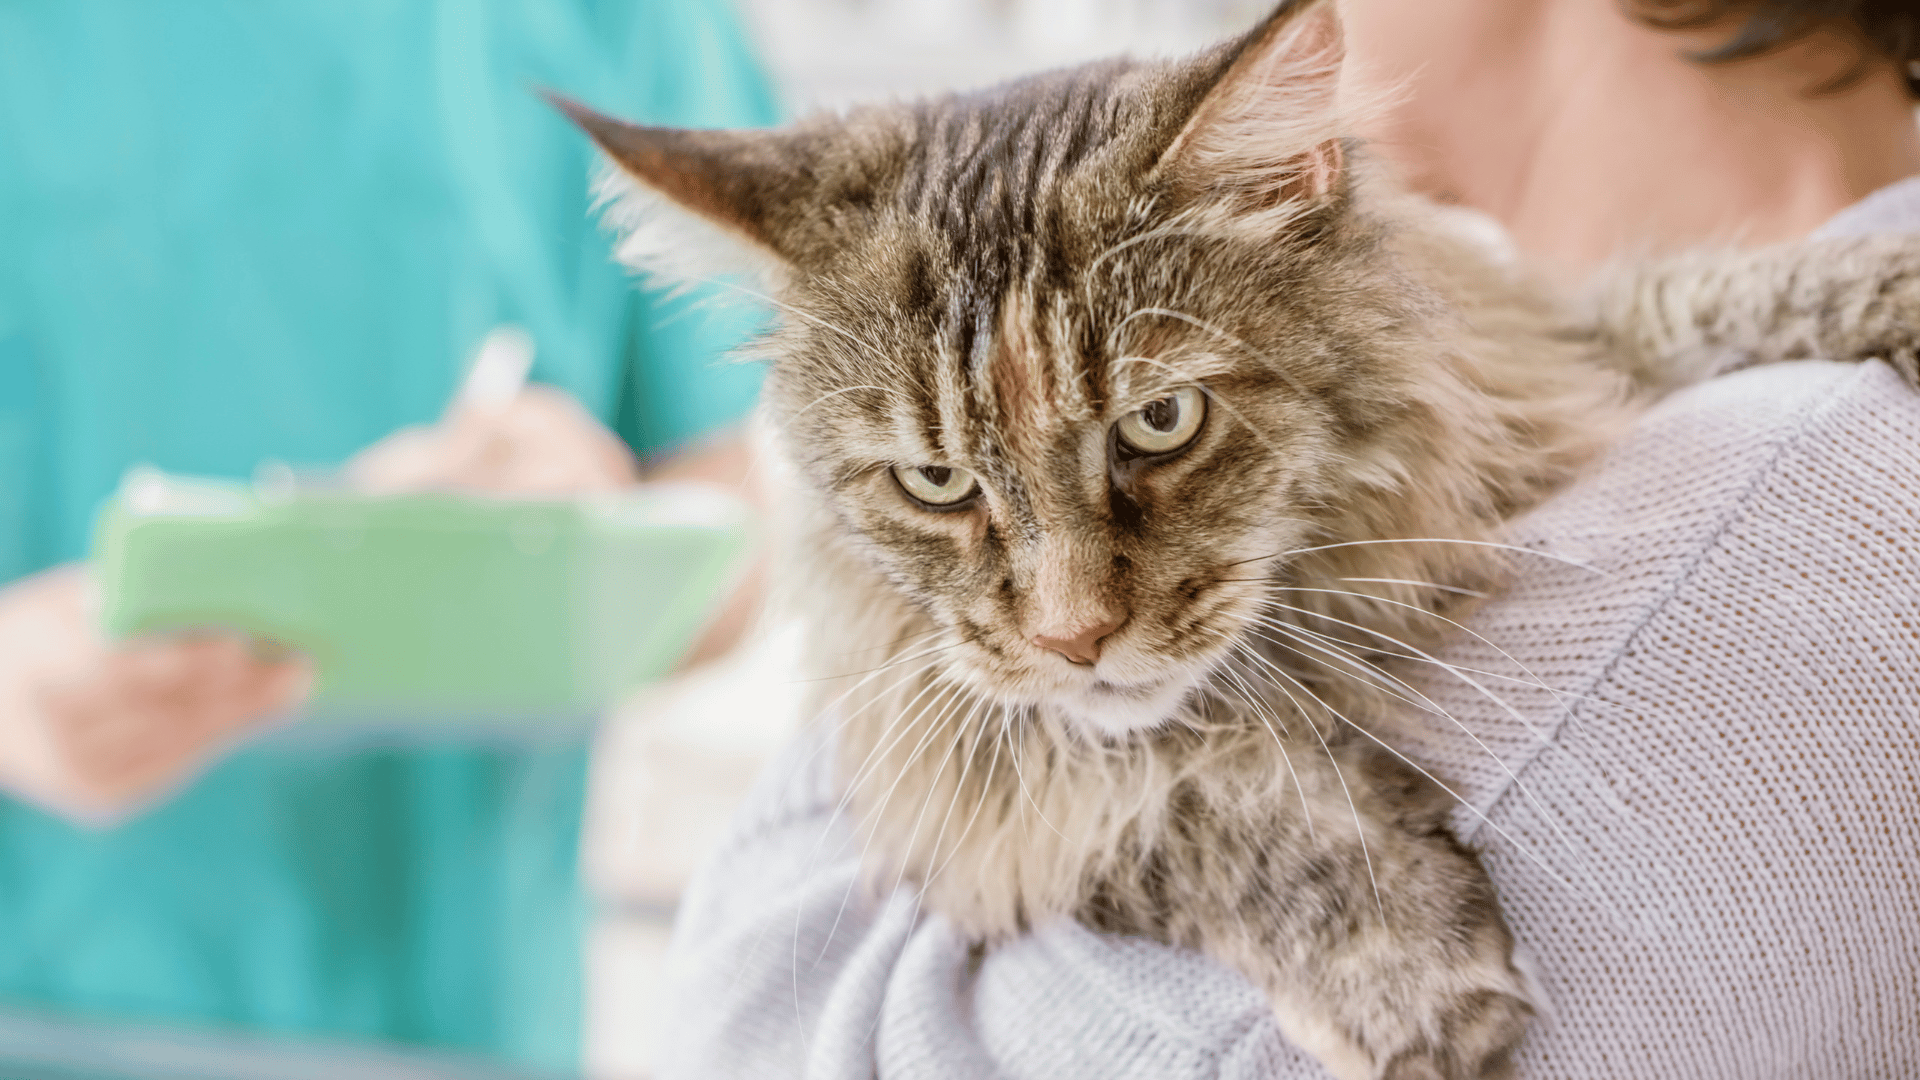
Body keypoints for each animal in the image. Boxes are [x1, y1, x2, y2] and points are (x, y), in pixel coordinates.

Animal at [549, 4, 1920, 1068]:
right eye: (936, 481)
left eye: (1161, 423)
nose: (1074, 639)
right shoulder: (954, 789)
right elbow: (1159, 795)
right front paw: (1398, 958)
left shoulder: (1546, 347)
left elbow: (1696, 292)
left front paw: (1887, 294)